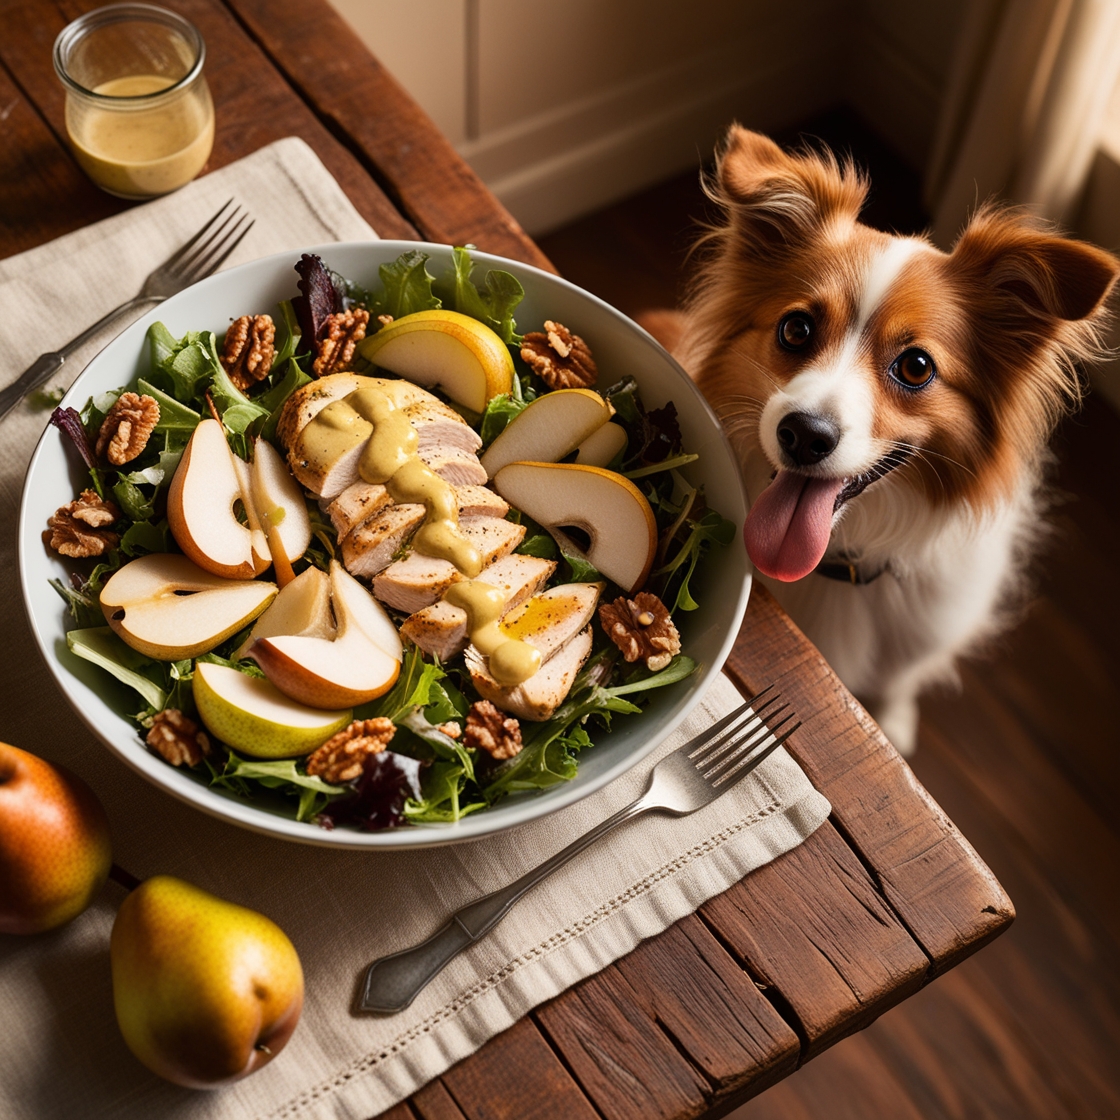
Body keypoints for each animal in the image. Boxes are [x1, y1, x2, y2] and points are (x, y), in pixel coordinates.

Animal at [658, 127, 1115, 757]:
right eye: (795, 329)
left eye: (917, 366)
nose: (804, 435)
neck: (839, 557)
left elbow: (901, 679)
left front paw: (896, 722)